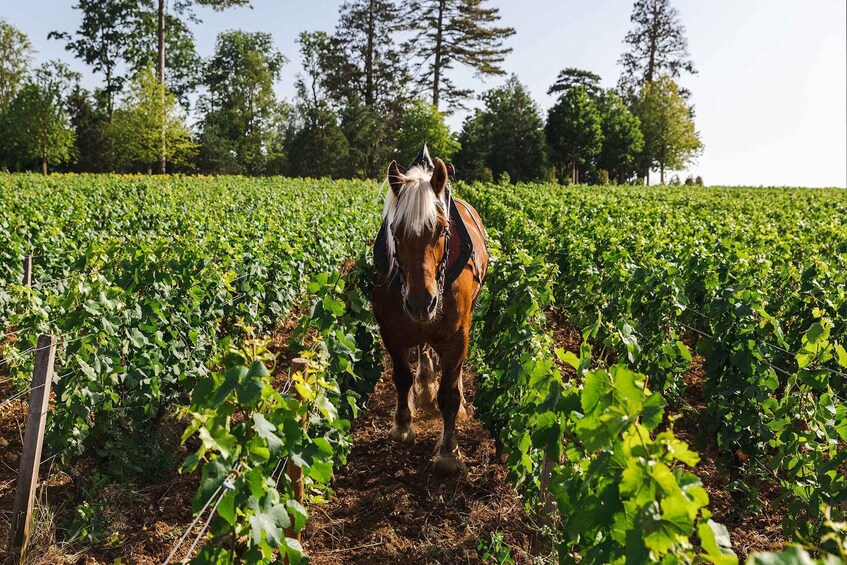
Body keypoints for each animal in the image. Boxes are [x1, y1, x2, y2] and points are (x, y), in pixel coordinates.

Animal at [372, 143, 488, 476]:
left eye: (441, 229)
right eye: (396, 230)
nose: (421, 302)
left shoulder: (458, 334)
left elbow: (449, 394)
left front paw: (449, 452)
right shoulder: (390, 330)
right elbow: (401, 377)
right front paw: (402, 425)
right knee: (423, 349)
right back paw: (425, 383)